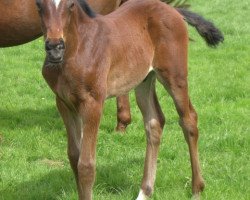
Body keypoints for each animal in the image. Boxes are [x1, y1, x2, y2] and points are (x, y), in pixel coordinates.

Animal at [35, 0, 223, 200]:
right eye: (38, 5)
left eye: (70, 5)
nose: (55, 48)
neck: (77, 49)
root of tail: (173, 10)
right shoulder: (64, 103)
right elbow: (73, 156)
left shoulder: (93, 103)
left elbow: (86, 165)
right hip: (144, 80)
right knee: (155, 122)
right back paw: (145, 191)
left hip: (175, 75)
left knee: (189, 120)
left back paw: (197, 189)